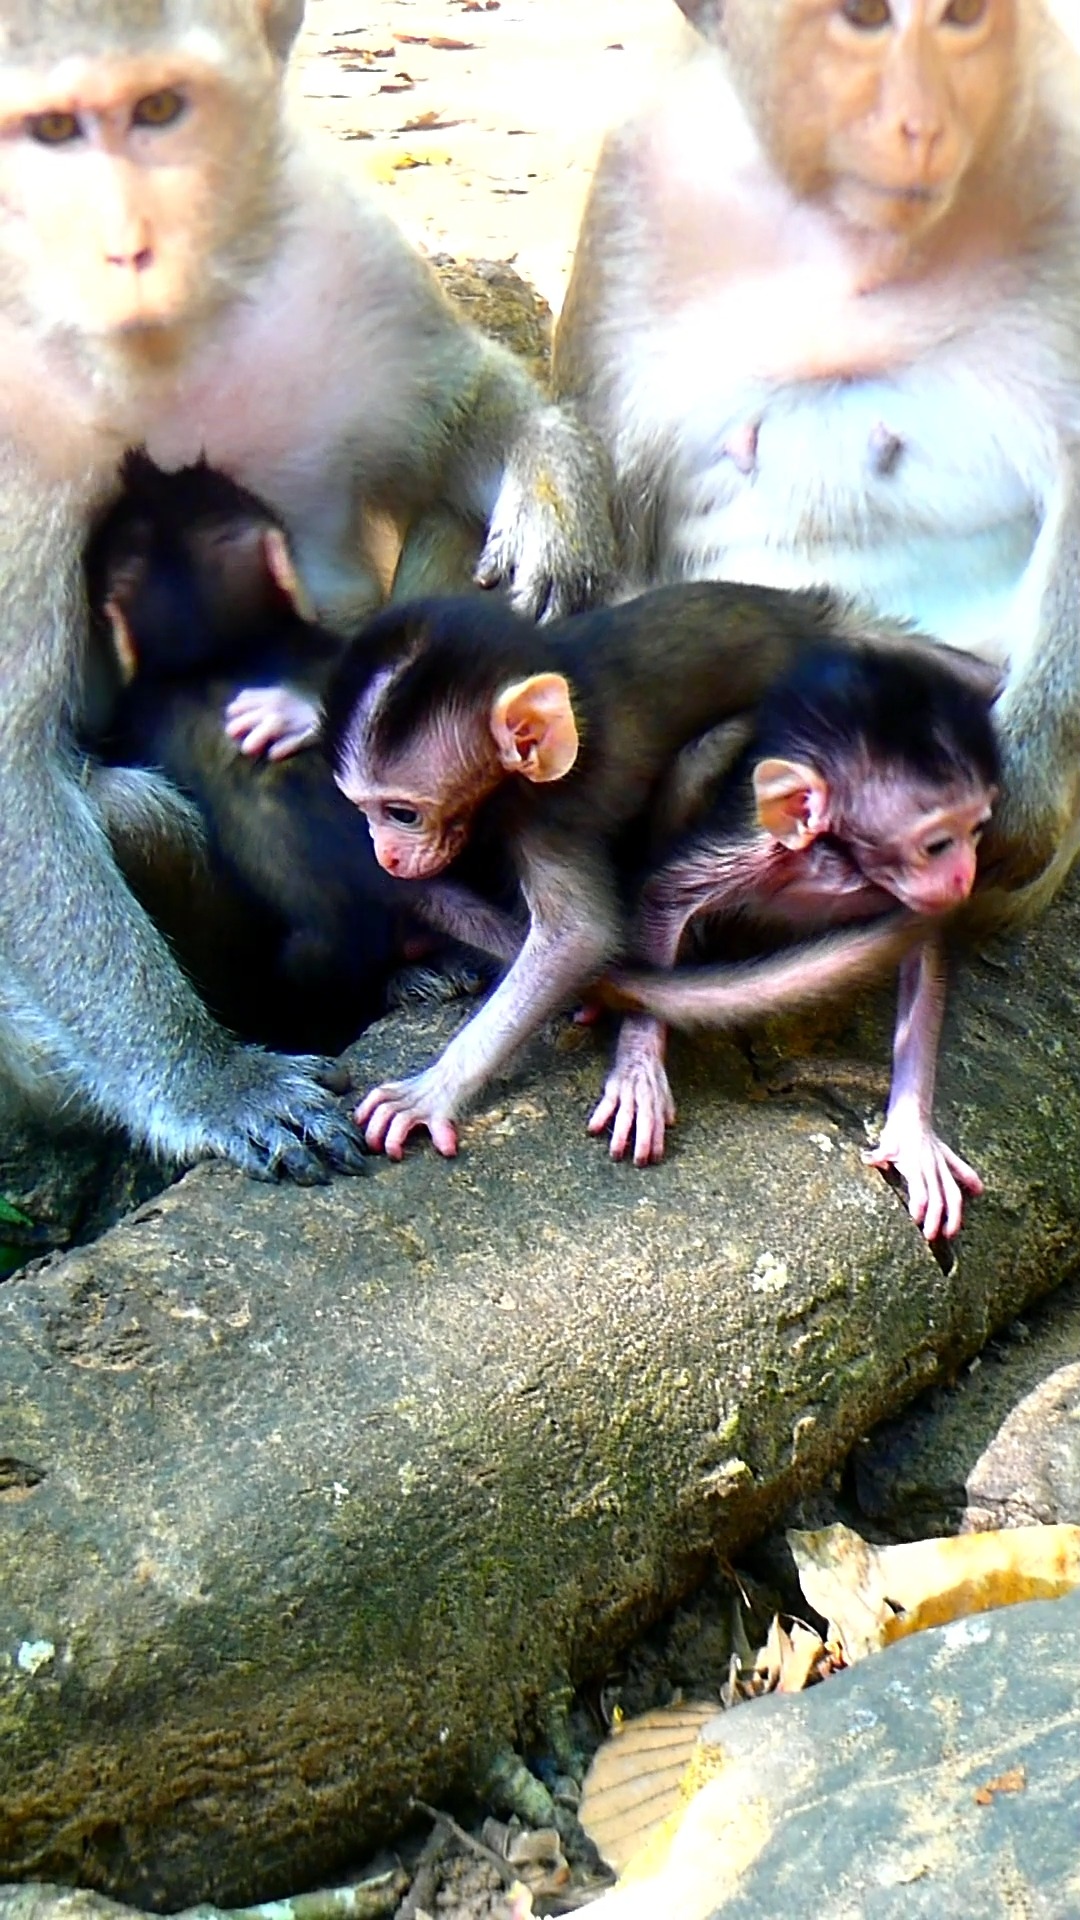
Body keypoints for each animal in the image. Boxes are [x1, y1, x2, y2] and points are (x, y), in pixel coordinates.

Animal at [0, 0, 616, 1176]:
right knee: (133, 810)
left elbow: (458, 418)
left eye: (160, 109)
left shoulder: (335, 242)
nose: (125, 240)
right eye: (50, 130)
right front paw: (209, 1082)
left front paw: (552, 499)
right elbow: (11, 775)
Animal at [319, 585, 968, 1161]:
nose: (386, 856)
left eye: (402, 813)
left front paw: (433, 1090)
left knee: (704, 758)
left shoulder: (550, 810)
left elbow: (577, 936)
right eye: (363, 810)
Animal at [552, 0, 1080, 925]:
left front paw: (1028, 767)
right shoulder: (633, 184)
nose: (921, 124)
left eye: (963, 17)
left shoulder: (1062, 157)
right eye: (864, 19)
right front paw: (556, 502)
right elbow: (602, 461)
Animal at [591, 638, 1002, 1240]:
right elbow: (663, 895)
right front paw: (639, 1068)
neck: (835, 862)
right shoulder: (760, 851)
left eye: (976, 831)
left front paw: (912, 1136)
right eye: (937, 844)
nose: (964, 877)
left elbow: (921, 951)